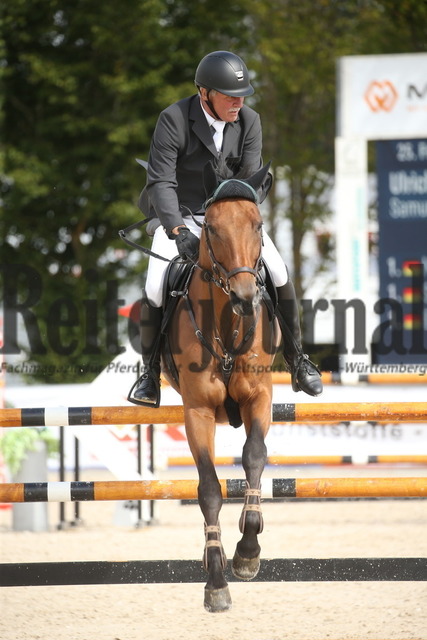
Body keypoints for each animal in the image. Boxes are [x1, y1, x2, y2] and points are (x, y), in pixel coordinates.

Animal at [162, 162, 280, 612]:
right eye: (210, 228)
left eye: (258, 224)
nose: (247, 297)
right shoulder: (196, 411)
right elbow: (209, 489)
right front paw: (216, 580)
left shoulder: (260, 398)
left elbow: (254, 457)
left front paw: (248, 551)